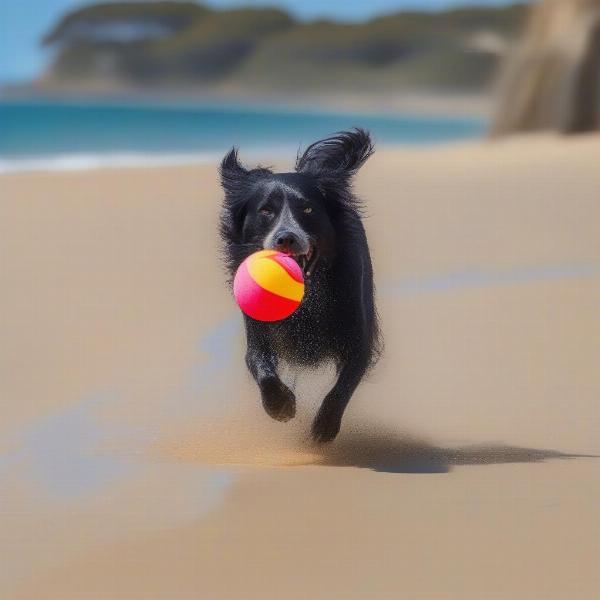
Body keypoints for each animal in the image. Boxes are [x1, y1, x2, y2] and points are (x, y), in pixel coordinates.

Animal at [219, 129, 380, 442]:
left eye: (307, 209)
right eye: (265, 211)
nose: (286, 238)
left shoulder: (356, 324)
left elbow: (349, 375)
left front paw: (324, 427)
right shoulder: (257, 328)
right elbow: (258, 361)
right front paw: (280, 406)